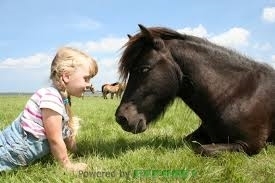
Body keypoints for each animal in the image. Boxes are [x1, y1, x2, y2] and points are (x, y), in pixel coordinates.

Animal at [115, 24, 275, 156]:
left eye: (144, 68)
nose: (121, 118)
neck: (237, 94)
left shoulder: (249, 145)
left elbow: (201, 149)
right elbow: (188, 141)